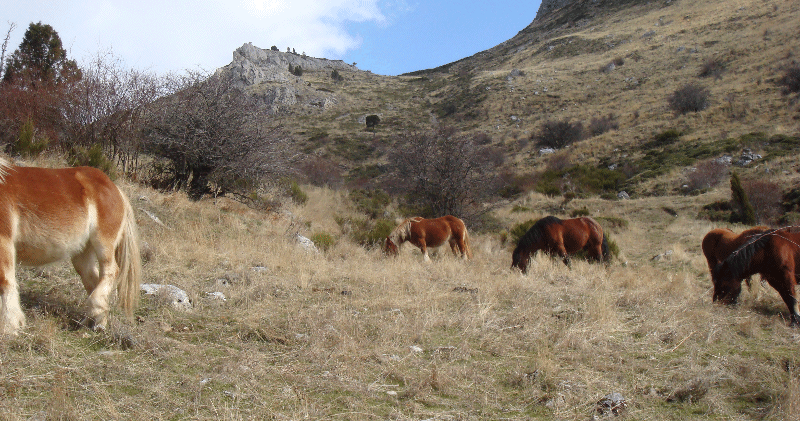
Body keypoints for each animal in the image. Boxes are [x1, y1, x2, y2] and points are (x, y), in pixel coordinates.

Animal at [0, 157, 142, 336]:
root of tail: (115, 188)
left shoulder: (4, 241)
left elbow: (5, 282)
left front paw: (9, 326)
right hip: (83, 252)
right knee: (93, 279)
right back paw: (93, 321)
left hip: (104, 243)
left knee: (111, 271)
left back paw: (97, 315)